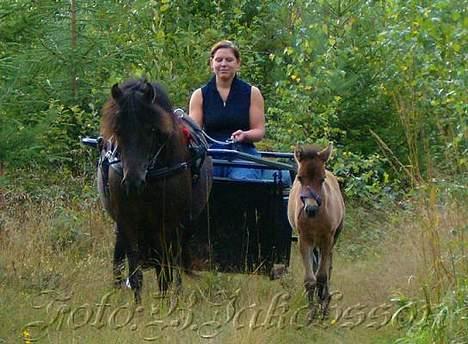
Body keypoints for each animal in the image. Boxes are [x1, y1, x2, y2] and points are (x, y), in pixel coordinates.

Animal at [98, 79, 211, 302]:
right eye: (118, 130)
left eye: (151, 130)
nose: (133, 182)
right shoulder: (127, 222)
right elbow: (136, 275)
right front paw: (138, 306)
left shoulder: (167, 223)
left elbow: (165, 273)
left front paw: (166, 303)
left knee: (174, 263)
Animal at [288, 144, 346, 318]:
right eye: (300, 178)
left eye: (322, 179)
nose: (311, 209)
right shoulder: (303, 240)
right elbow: (310, 279)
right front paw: (311, 313)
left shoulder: (327, 239)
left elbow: (321, 276)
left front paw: (323, 306)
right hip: (314, 242)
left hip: (333, 238)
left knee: (328, 266)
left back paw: (326, 298)